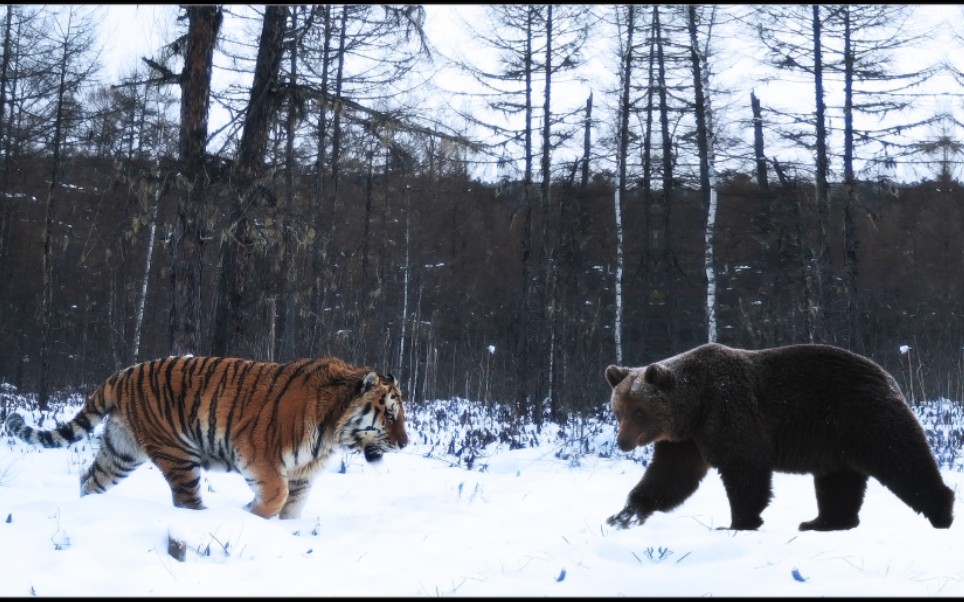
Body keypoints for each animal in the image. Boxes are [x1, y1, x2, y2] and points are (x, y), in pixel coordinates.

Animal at [2, 354, 406, 516]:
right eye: (389, 413)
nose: (405, 443)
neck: (332, 432)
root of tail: (120, 375)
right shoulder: (258, 456)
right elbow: (275, 497)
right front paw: (251, 514)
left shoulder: (303, 476)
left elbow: (292, 509)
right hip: (178, 454)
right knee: (187, 500)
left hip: (121, 452)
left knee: (89, 478)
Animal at [608, 342, 952, 528]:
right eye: (619, 411)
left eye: (639, 411)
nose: (622, 442)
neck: (694, 407)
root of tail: (886, 374)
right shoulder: (685, 441)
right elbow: (670, 477)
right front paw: (624, 515)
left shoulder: (728, 410)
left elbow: (744, 467)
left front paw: (739, 522)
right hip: (835, 438)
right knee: (838, 480)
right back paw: (822, 522)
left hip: (862, 417)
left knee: (900, 459)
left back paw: (941, 512)